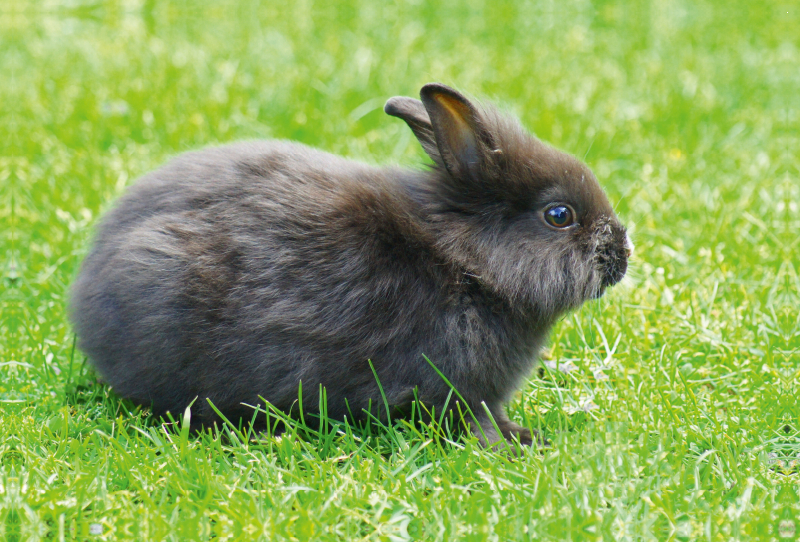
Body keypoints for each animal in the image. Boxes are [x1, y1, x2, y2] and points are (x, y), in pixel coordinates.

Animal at [69, 83, 632, 448]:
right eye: (559, 215)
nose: (623, 253)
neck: (469, 263)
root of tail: (88, 292)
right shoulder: (458, 389)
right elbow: (476, 421)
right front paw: (515, 444)